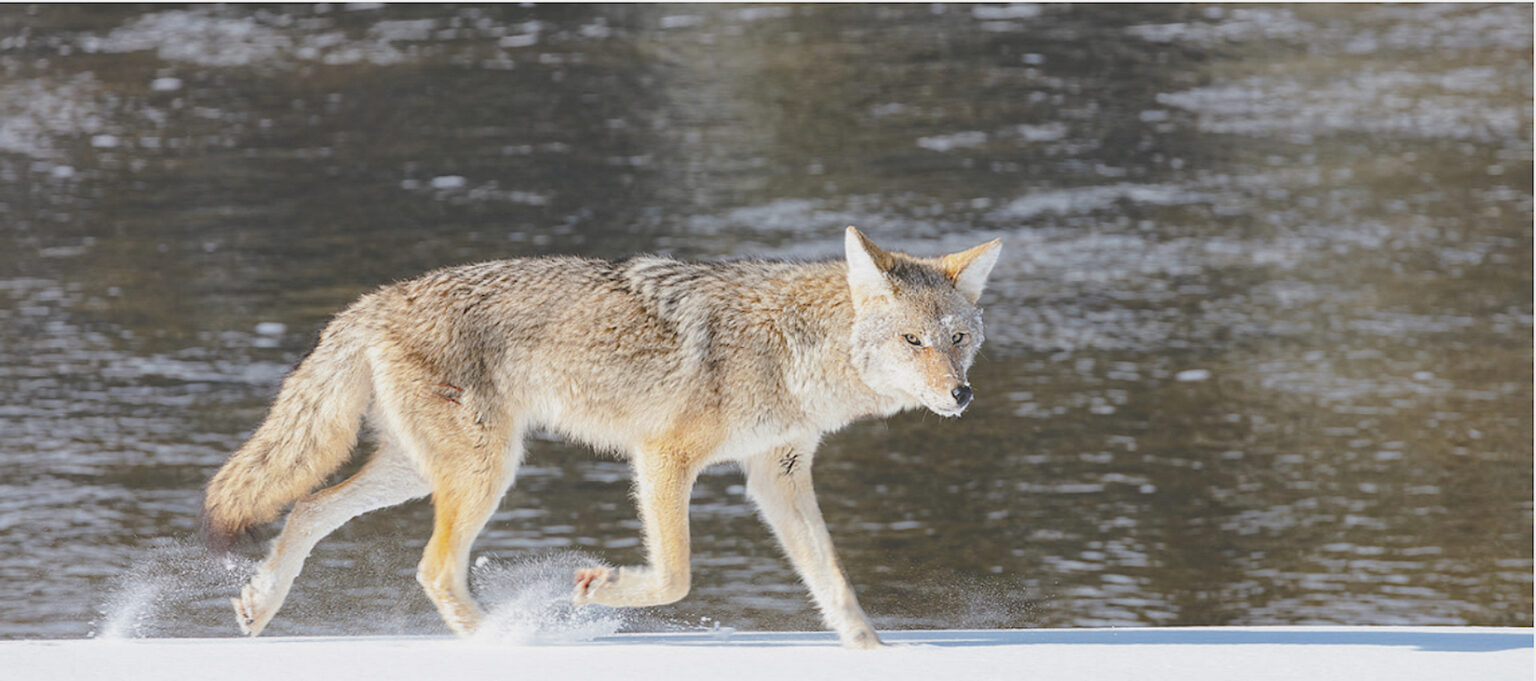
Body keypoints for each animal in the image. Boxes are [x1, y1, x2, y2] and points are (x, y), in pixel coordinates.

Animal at [202, 226, 1001, 648]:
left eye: (958, 340)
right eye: (912, 341)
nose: (961, 394)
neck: (793, 348)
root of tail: (371, 301)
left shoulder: (777, 472)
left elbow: (832, 580)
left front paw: (874, 651)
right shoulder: (662, 457)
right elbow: (676, 575)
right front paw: (598, 589)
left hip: (423, 473)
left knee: (309, 508)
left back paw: (260, 603)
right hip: (484, 472)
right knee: (431, 567)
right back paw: (506, 639)